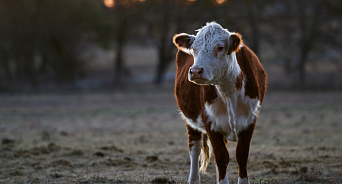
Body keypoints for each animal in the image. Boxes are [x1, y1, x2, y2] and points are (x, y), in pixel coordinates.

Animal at [174, 21, 268, 184]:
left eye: (220, 47)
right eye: (194, 49)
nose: (195, 71)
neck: (228, 91)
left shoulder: (250, 121)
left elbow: (241, 155)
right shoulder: (210, 122)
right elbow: (221, 156)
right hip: (190, 119)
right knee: (195, 148)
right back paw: (193, 179)